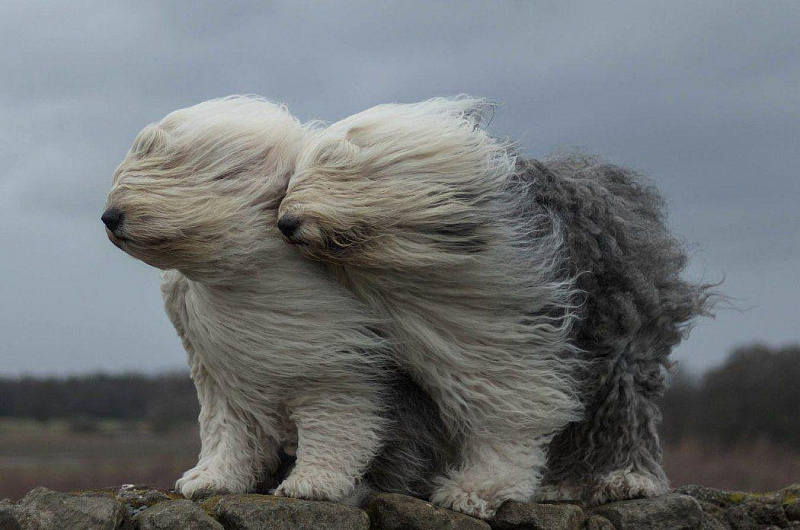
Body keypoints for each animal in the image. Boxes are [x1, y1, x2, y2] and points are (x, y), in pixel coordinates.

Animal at [101, 98, 454, 504]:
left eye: (170, 165)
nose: (109, 217)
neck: (249, 272)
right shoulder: (217, 366)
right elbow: (227, 426)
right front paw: (210, 479)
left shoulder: (333, 362)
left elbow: (336, 419)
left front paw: (311, 484)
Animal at [276, 96, 712, 516]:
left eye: (336, 170)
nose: (285, 223)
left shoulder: (502, 332)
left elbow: (506, 410)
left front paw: (477, 489)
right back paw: (564, 485)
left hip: (619, 338)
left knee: (623, 405)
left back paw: (622, 478)